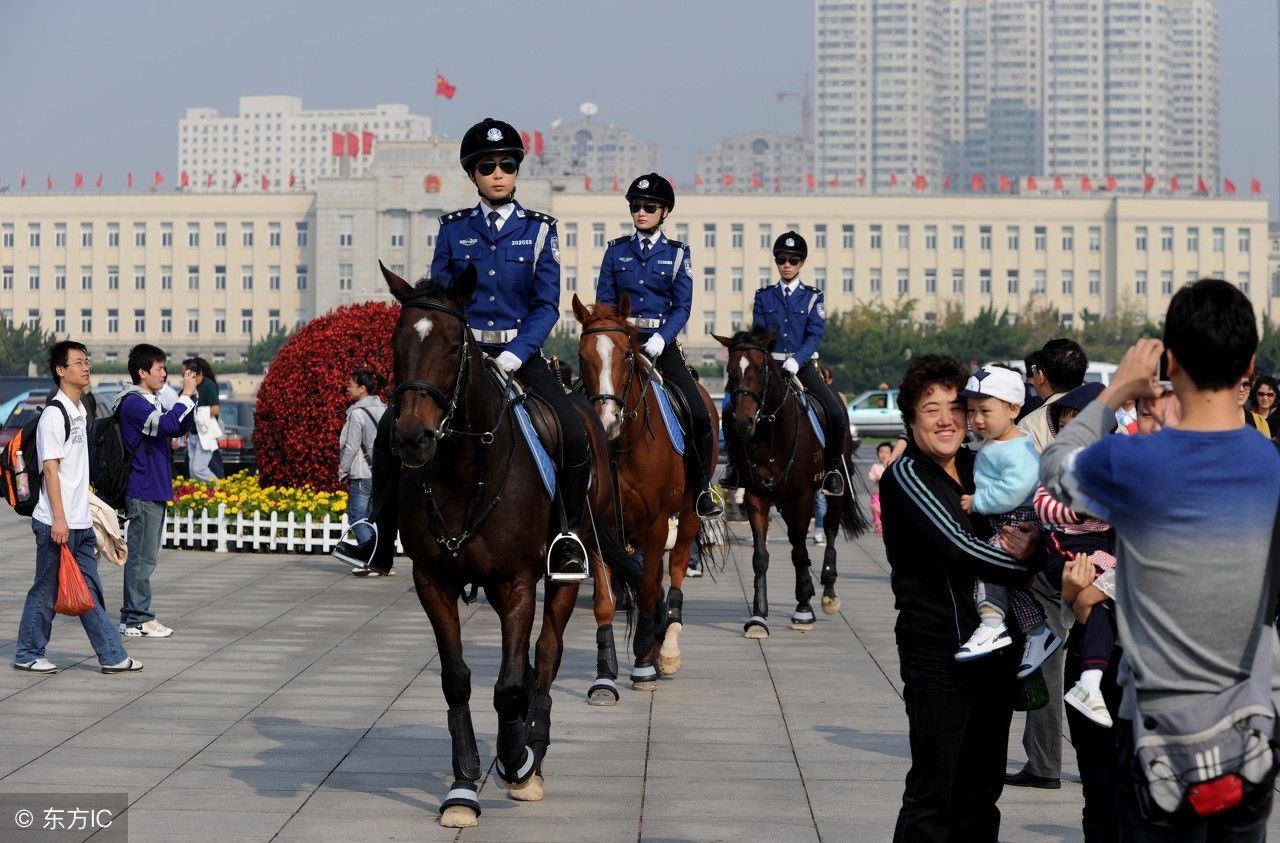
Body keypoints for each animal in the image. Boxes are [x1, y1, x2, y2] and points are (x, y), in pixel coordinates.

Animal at [381, 266, 637, 828]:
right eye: (396, 343)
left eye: (454, 345)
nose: (411, 438)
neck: (462, 472)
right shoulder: (433, 582)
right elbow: (457, 680)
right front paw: (462, 786)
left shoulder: (517, 583)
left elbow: (513, 683)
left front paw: (518, 760)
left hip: (568, 563)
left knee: (546, 653)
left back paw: (532, 749)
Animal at [573, 292, 721, 701]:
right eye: (582, 356)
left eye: (626, 354)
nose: (606, 421)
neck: (622, 447)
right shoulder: (601, 526)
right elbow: (607, 599)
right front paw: (605, 675)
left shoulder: (656, 524)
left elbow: (651, 585)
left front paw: (643, 664)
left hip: (687, 514)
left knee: (675, 567)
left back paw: (665, 648)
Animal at [711, 330, 870, 639]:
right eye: (730, 371)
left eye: (760, 370)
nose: (743, 423)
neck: (771, 432)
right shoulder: (757, 496)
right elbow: (761, 556)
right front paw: (758, 616)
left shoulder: (802, 497)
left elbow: (799, 550)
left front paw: (804, 609)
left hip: (832, 492)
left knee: (830, 529)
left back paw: (828, 592)